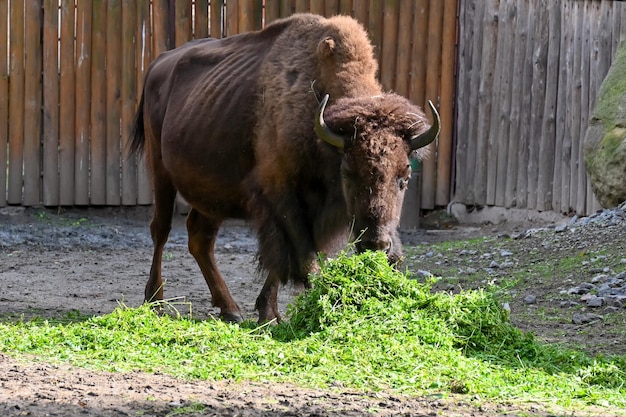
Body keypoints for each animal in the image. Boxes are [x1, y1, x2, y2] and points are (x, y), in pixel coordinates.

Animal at [127, 13, 438, 324]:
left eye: (405, 177)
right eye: (348, 174)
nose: (378, 245)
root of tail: (159, 63)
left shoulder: (310, 212)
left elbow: (285, 261)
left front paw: (269, 311)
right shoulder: (280, 198)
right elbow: (300, 257)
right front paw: (287, 312)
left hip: (210, 191)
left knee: (200, 238)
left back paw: (230, 309)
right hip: (160, 171)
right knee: (161, 230)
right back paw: (155, 301)